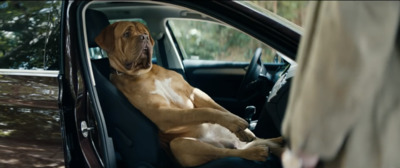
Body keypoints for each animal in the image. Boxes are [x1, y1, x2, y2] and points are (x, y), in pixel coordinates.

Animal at [95, 21, 282, 167]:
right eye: (126, 34)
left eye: (145, 33)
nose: (144, 38)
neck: (145, 73)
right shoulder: (162, 113)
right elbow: (201, 112)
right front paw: (235, 122)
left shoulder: (194, 92)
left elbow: (219, 109)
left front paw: (245, 130)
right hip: (181, 145)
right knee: (224, 153)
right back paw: (255, 153)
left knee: (262, 141)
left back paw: (276, 142)